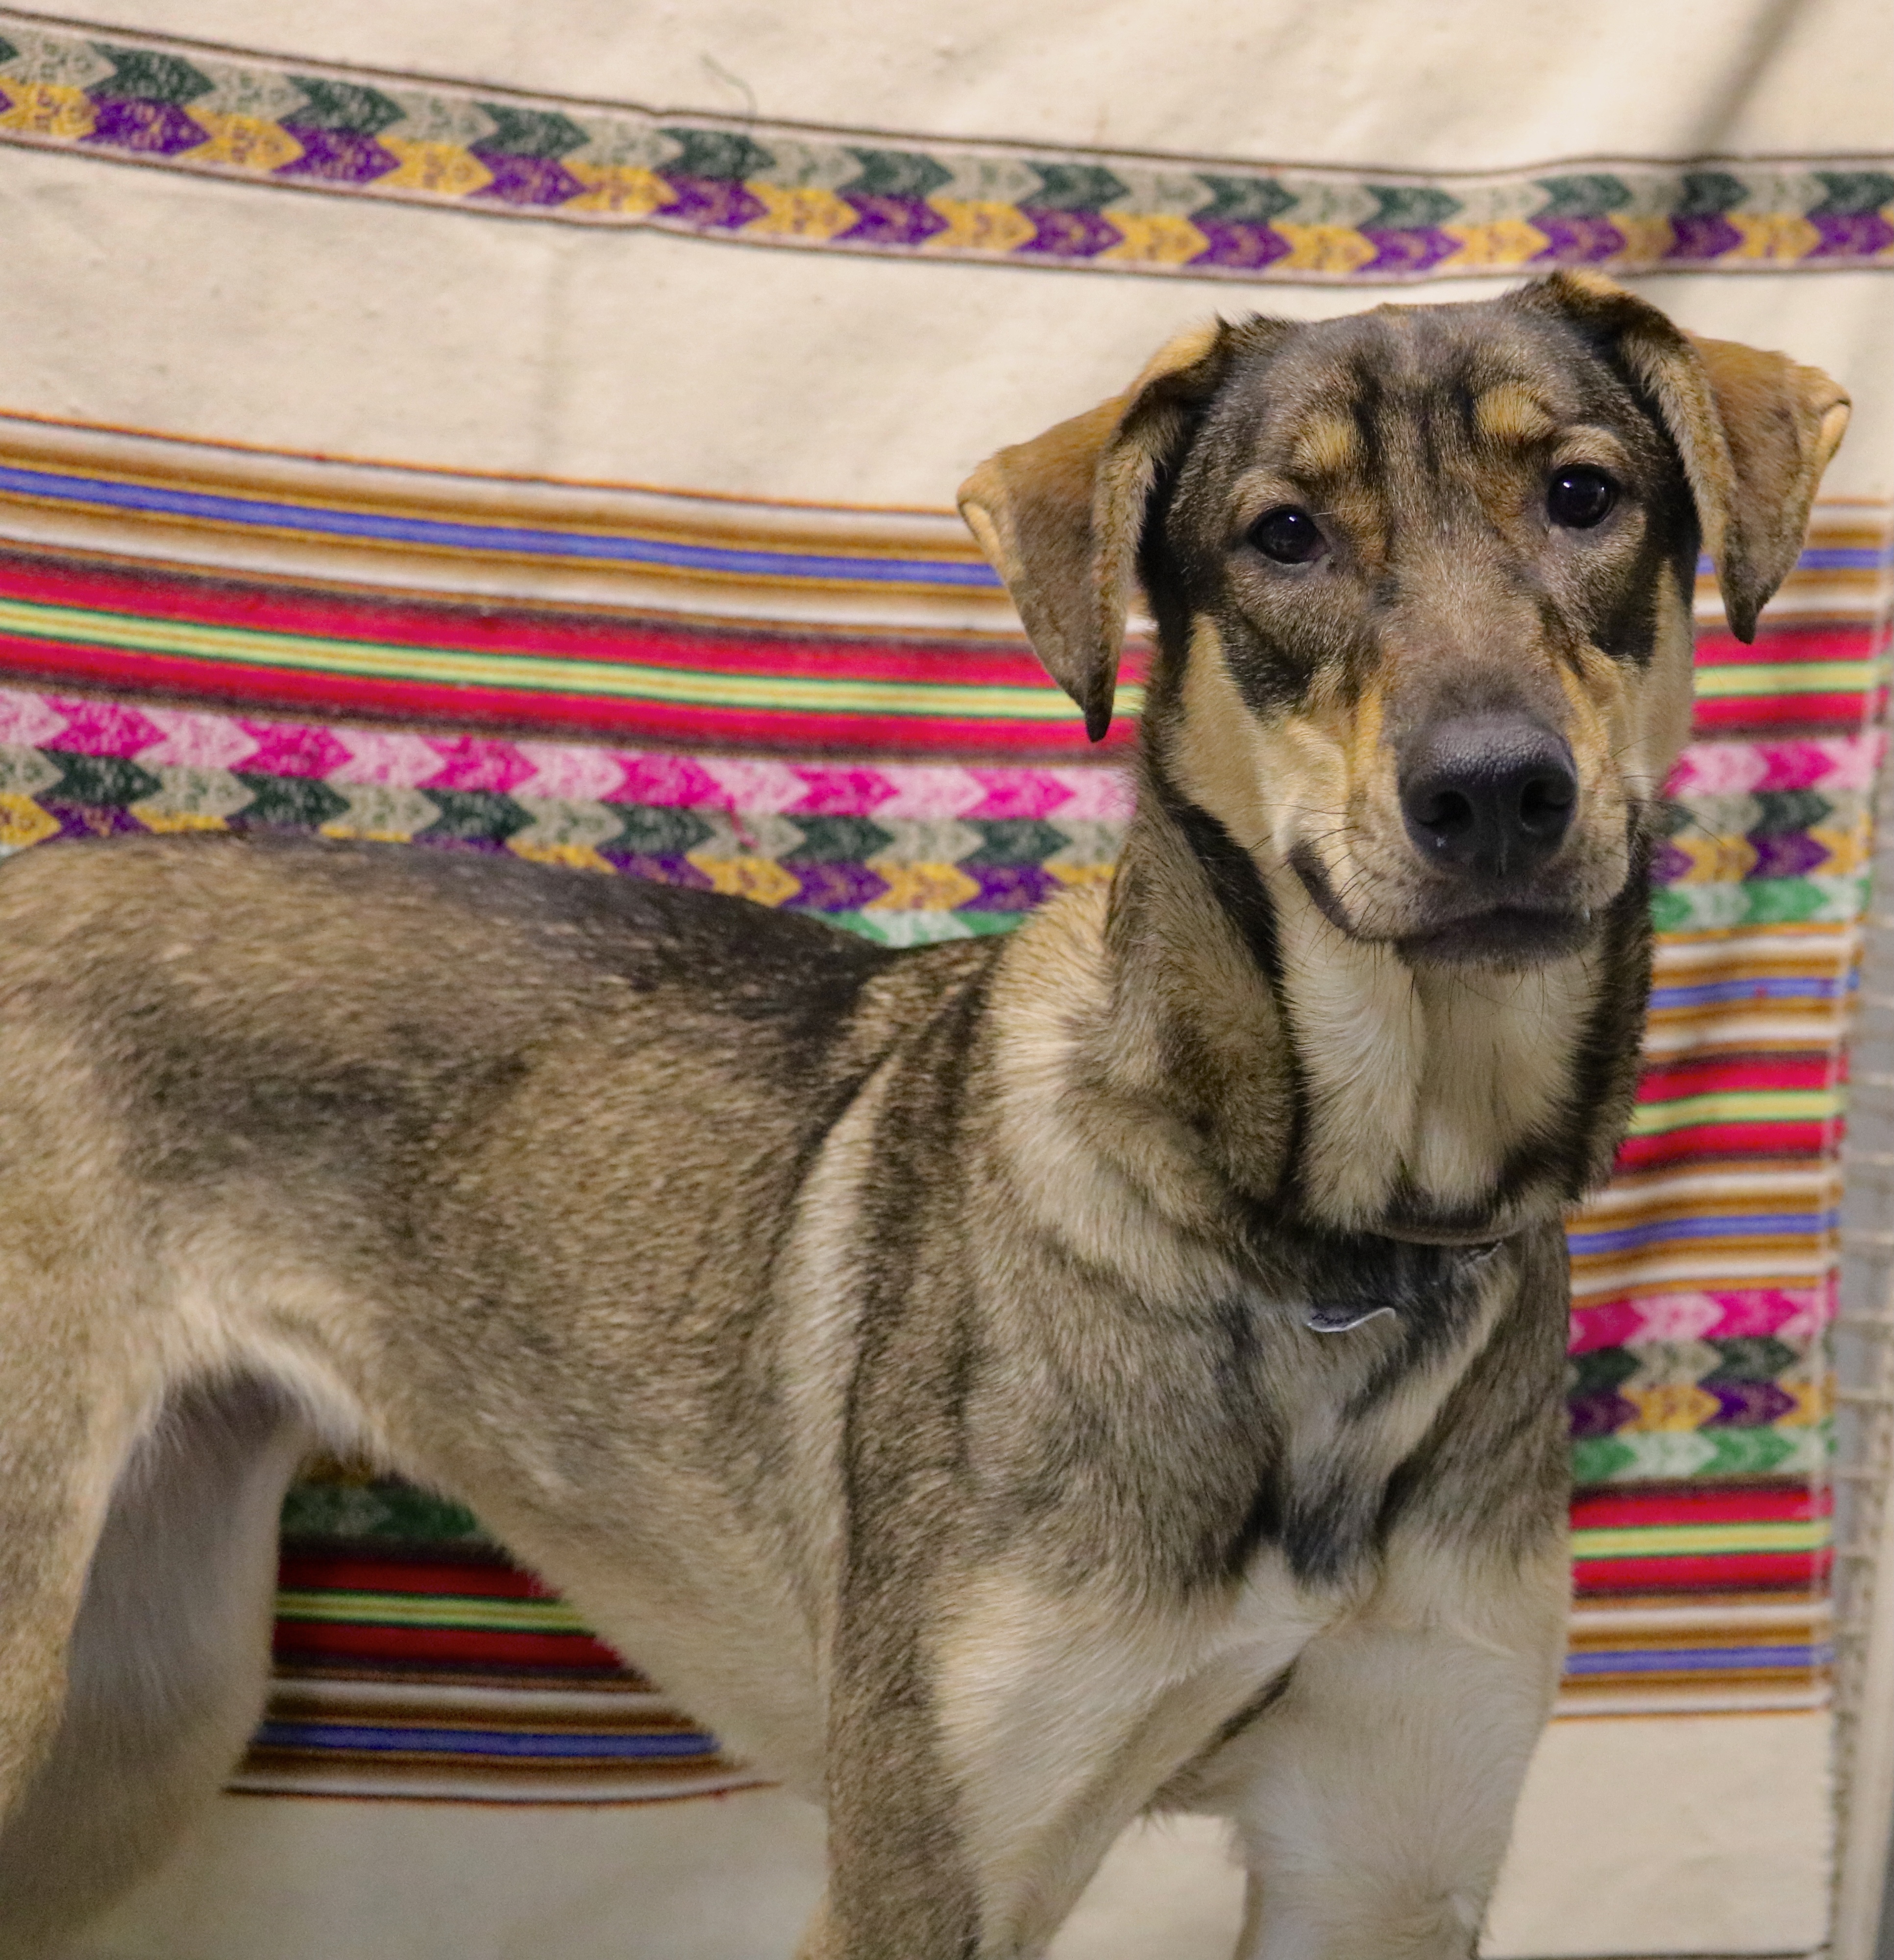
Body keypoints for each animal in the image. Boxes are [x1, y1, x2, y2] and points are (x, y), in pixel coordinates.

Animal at [0, 270, 1847, 1959]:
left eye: (1583, 495)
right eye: (1284, 536)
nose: (1492, 793)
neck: (1322, 1236)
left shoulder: (1386, 1860)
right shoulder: (932, 1863)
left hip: (141, 1705)